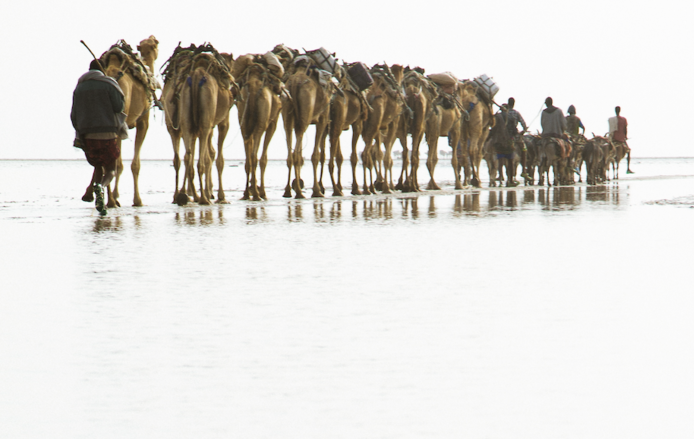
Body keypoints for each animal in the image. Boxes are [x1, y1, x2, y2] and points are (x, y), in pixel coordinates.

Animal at [83, 36, 159, 207]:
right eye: (155, 44)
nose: (152, 37)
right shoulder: (143, 121)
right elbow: (134, 164)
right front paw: (137, 200)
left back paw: (100, 197)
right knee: (112, 163)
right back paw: (110, 201)